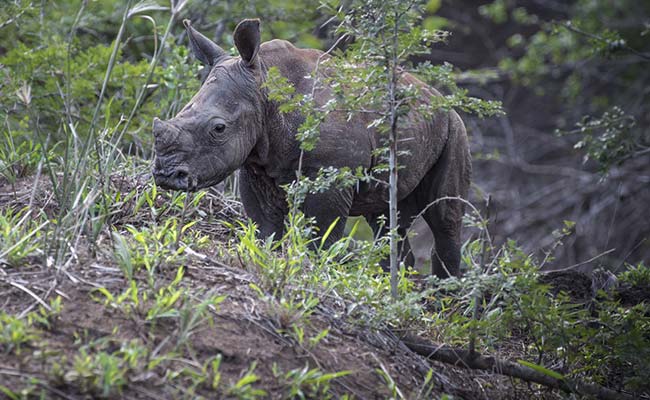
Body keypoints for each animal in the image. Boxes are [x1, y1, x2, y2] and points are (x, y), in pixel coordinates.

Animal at [154, 17, 468, 276]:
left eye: (218, 129)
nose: (165, 175)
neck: (265, 90)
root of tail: (439, 97)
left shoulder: (332, 176)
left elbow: (322, 238)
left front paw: (316, 269)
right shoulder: (256, 165)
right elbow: (265, 227)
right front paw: (267, 257)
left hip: (455, 127)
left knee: (445, 218)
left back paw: (445, 298)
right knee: (386, 217)